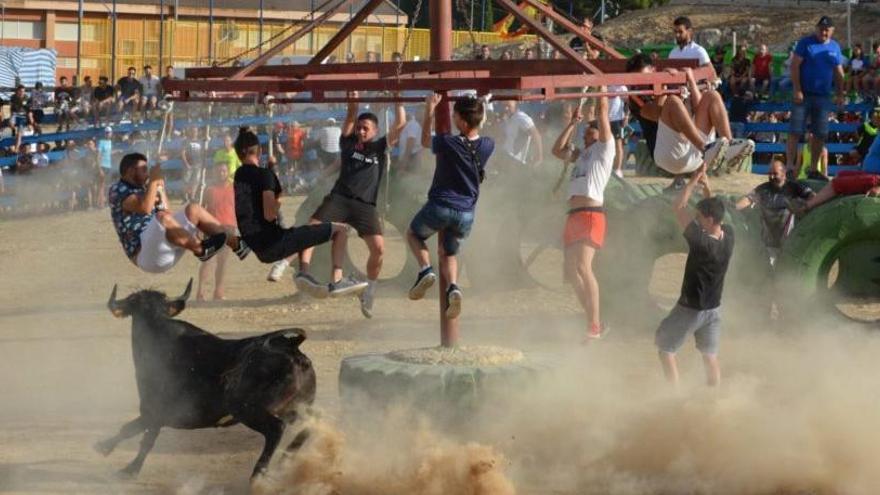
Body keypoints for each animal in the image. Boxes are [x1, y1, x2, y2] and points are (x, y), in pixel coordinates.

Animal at [97, 280, 316, 482]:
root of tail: (291, 347)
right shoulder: (155, 414)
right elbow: (133, 430)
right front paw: (105, 448)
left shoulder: (154, 411)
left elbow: (142, 436)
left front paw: (127, 467)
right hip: (300, 406)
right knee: (310, 425)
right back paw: (285, 461)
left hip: (247, 409)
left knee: (276, 429)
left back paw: (258, 475)